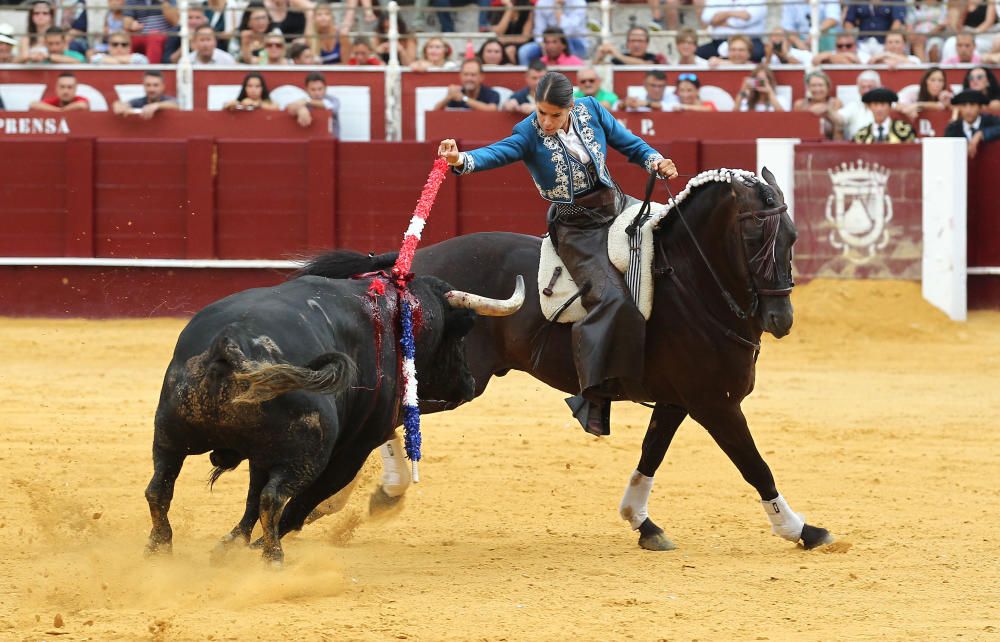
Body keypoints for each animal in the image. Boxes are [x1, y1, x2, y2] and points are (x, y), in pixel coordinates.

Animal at [149, 256, 528, 564]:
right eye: (461, 333)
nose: (468, 383)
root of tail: (229, 343)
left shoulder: (265, 453)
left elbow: (251, 499)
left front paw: (230, 545)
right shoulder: (353, 449)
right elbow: (298, 504)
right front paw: (249, 547)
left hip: (170, 434)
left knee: (160, 488)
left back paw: (159, 548)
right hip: (309, 453)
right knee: (276, 498)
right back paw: (272, 557)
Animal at [302, 166, 828, 552]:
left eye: (793, 236)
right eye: (755, 236)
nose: (781, 318)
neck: (689, 282)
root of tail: (407, 266)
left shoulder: (679, 400)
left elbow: (651, 454)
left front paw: (642, 523)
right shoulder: (714, 403)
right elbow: (754, 464)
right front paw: (802, 530)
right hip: (452, 381)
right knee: (393, 408)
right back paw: (370, 493)